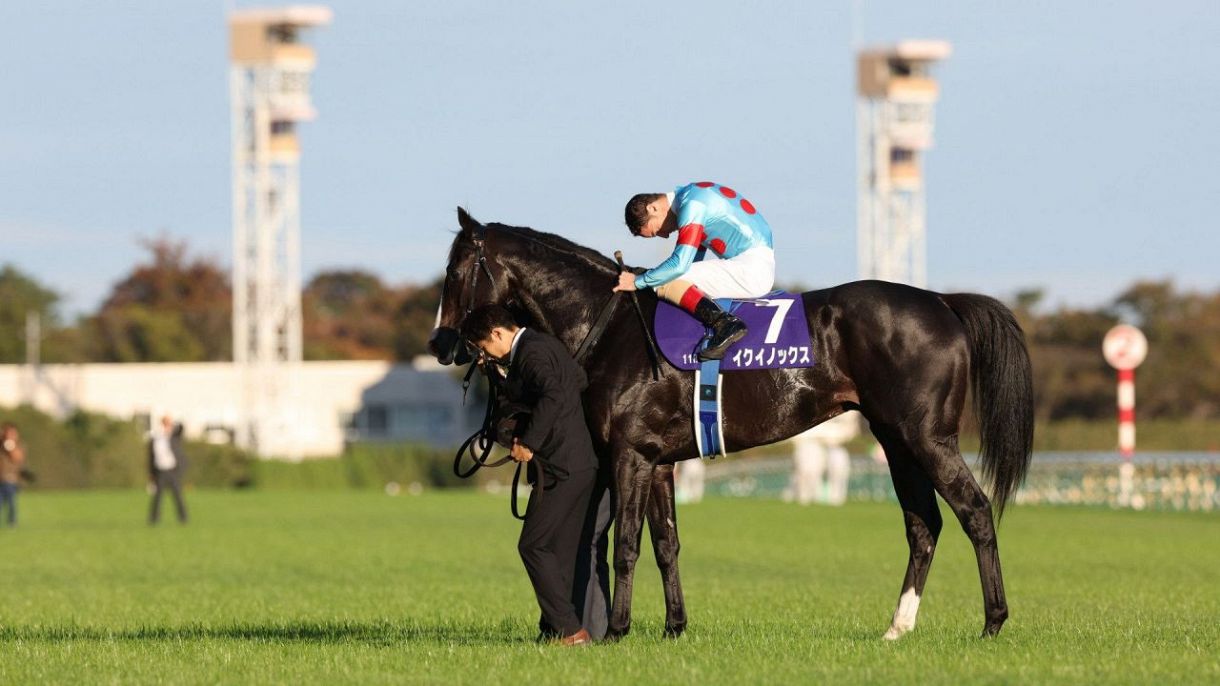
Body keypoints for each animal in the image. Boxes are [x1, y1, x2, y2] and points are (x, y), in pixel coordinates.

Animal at [428, 208, 1034, 640]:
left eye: (454, 272)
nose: (440, 343)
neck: (609, 324)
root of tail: (941, 301)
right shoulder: (659, 461)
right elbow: (666, 544)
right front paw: (674, 627)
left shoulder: (630, 454)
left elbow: (625, 543)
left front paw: (617, 631)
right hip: (897, 441)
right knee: (923, 525)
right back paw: (898, 627)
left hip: (926, 437)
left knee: (975, 511)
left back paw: (993, 621)